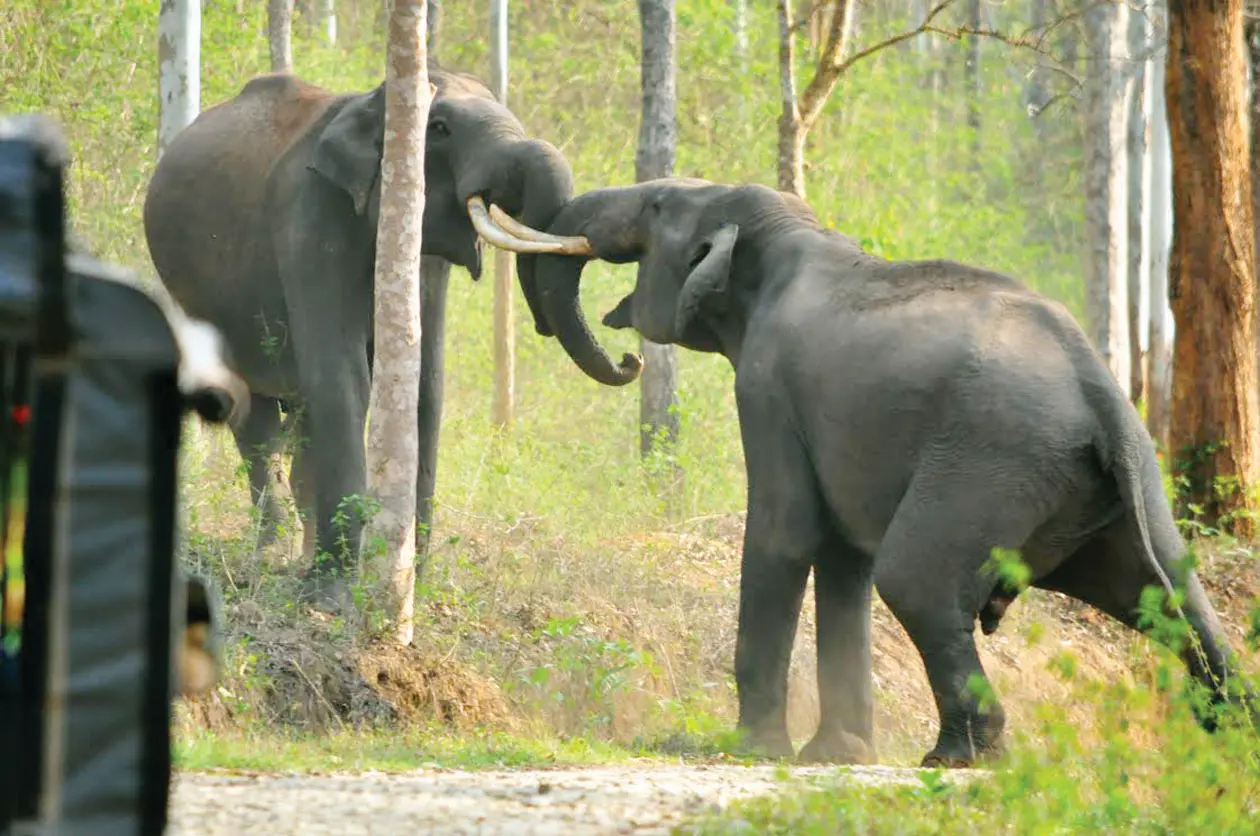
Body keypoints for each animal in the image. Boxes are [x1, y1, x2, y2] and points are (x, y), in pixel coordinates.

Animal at [143, 66, 595, 601]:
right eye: (438, 128)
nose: (632, 361)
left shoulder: (424, 260)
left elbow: (424, 390)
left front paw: (409, 584)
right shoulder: (311, 221)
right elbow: (343, 382)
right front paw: (331, 597)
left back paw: (300, 555)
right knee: (255, 419)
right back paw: (271, 558)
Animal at [528, 177, 1254, 768]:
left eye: (656, 206)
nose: (628, 361)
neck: (784, 228)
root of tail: (1097, 391)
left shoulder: (766, 387)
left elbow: (786, 534)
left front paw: (753, 750)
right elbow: (842, 555)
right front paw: (836, 755)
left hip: (990, 463)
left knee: (914, 579)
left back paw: (958, 757)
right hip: (1113, 485)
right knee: (1170, 596)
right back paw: (1232, 738)